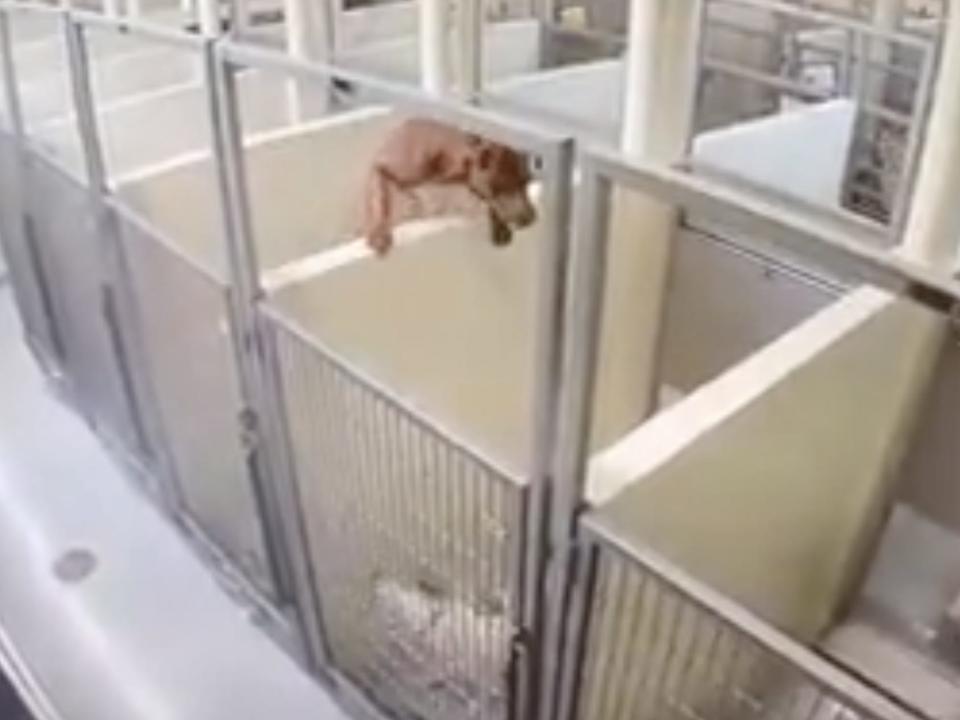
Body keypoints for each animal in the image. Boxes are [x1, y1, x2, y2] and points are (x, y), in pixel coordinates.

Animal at [364, 116, 536, 255]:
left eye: (527, 181)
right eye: (500, 185)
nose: (530, 219)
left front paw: (500, 227)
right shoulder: (381, 168)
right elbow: (381, 201)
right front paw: (379, 233)